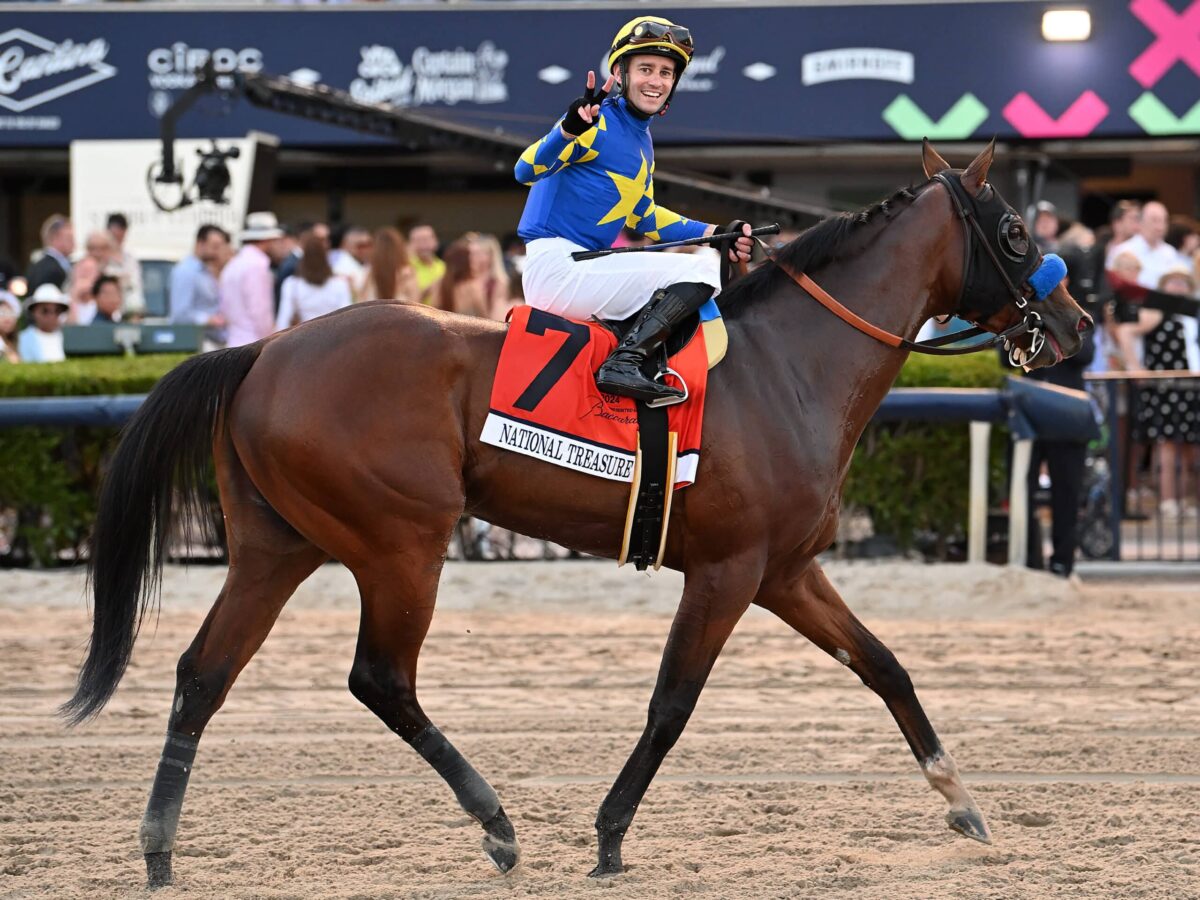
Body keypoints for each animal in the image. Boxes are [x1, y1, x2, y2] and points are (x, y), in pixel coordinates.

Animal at [68, 142, 1099, 888]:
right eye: (1014, 230)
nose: (1080, 325)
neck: (789, 365)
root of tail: (264, 351)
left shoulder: (787, 570)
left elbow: (885, 666)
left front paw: (962, 802)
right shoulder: (727, 572)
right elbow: (673, 703)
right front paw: (607, 838)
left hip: (276, 548)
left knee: (204, 674)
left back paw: (159, 850)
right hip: (402, 543)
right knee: (380, 679)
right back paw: (496, 826)